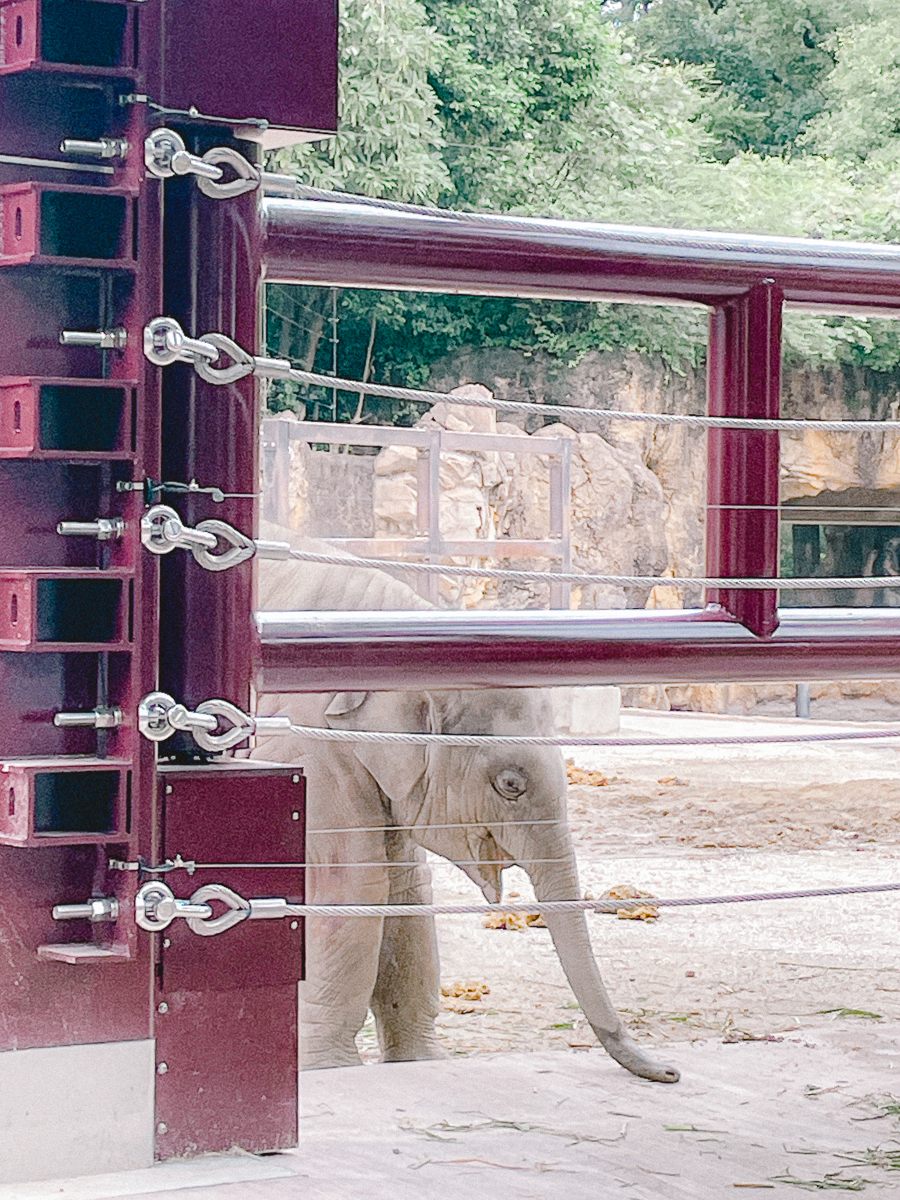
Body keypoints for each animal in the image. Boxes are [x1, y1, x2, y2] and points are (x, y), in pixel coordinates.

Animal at [250, 528, 681, 1089]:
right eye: (511, 785)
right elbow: (352, 887)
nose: (671, 1071)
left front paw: (420, 1064)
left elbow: (408, 891)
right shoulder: (306, 749)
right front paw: (330, 1071)